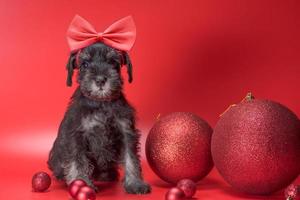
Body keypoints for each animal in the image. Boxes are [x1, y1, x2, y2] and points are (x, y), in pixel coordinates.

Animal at [47, 41, 151, 194]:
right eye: (85, 64)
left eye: (113, 62)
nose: (100, 80)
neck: (101, 103)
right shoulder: (76, 135)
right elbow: (77, 161)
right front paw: (81, 183)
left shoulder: (126, 132)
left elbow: (131, 158)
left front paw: (135, 183)